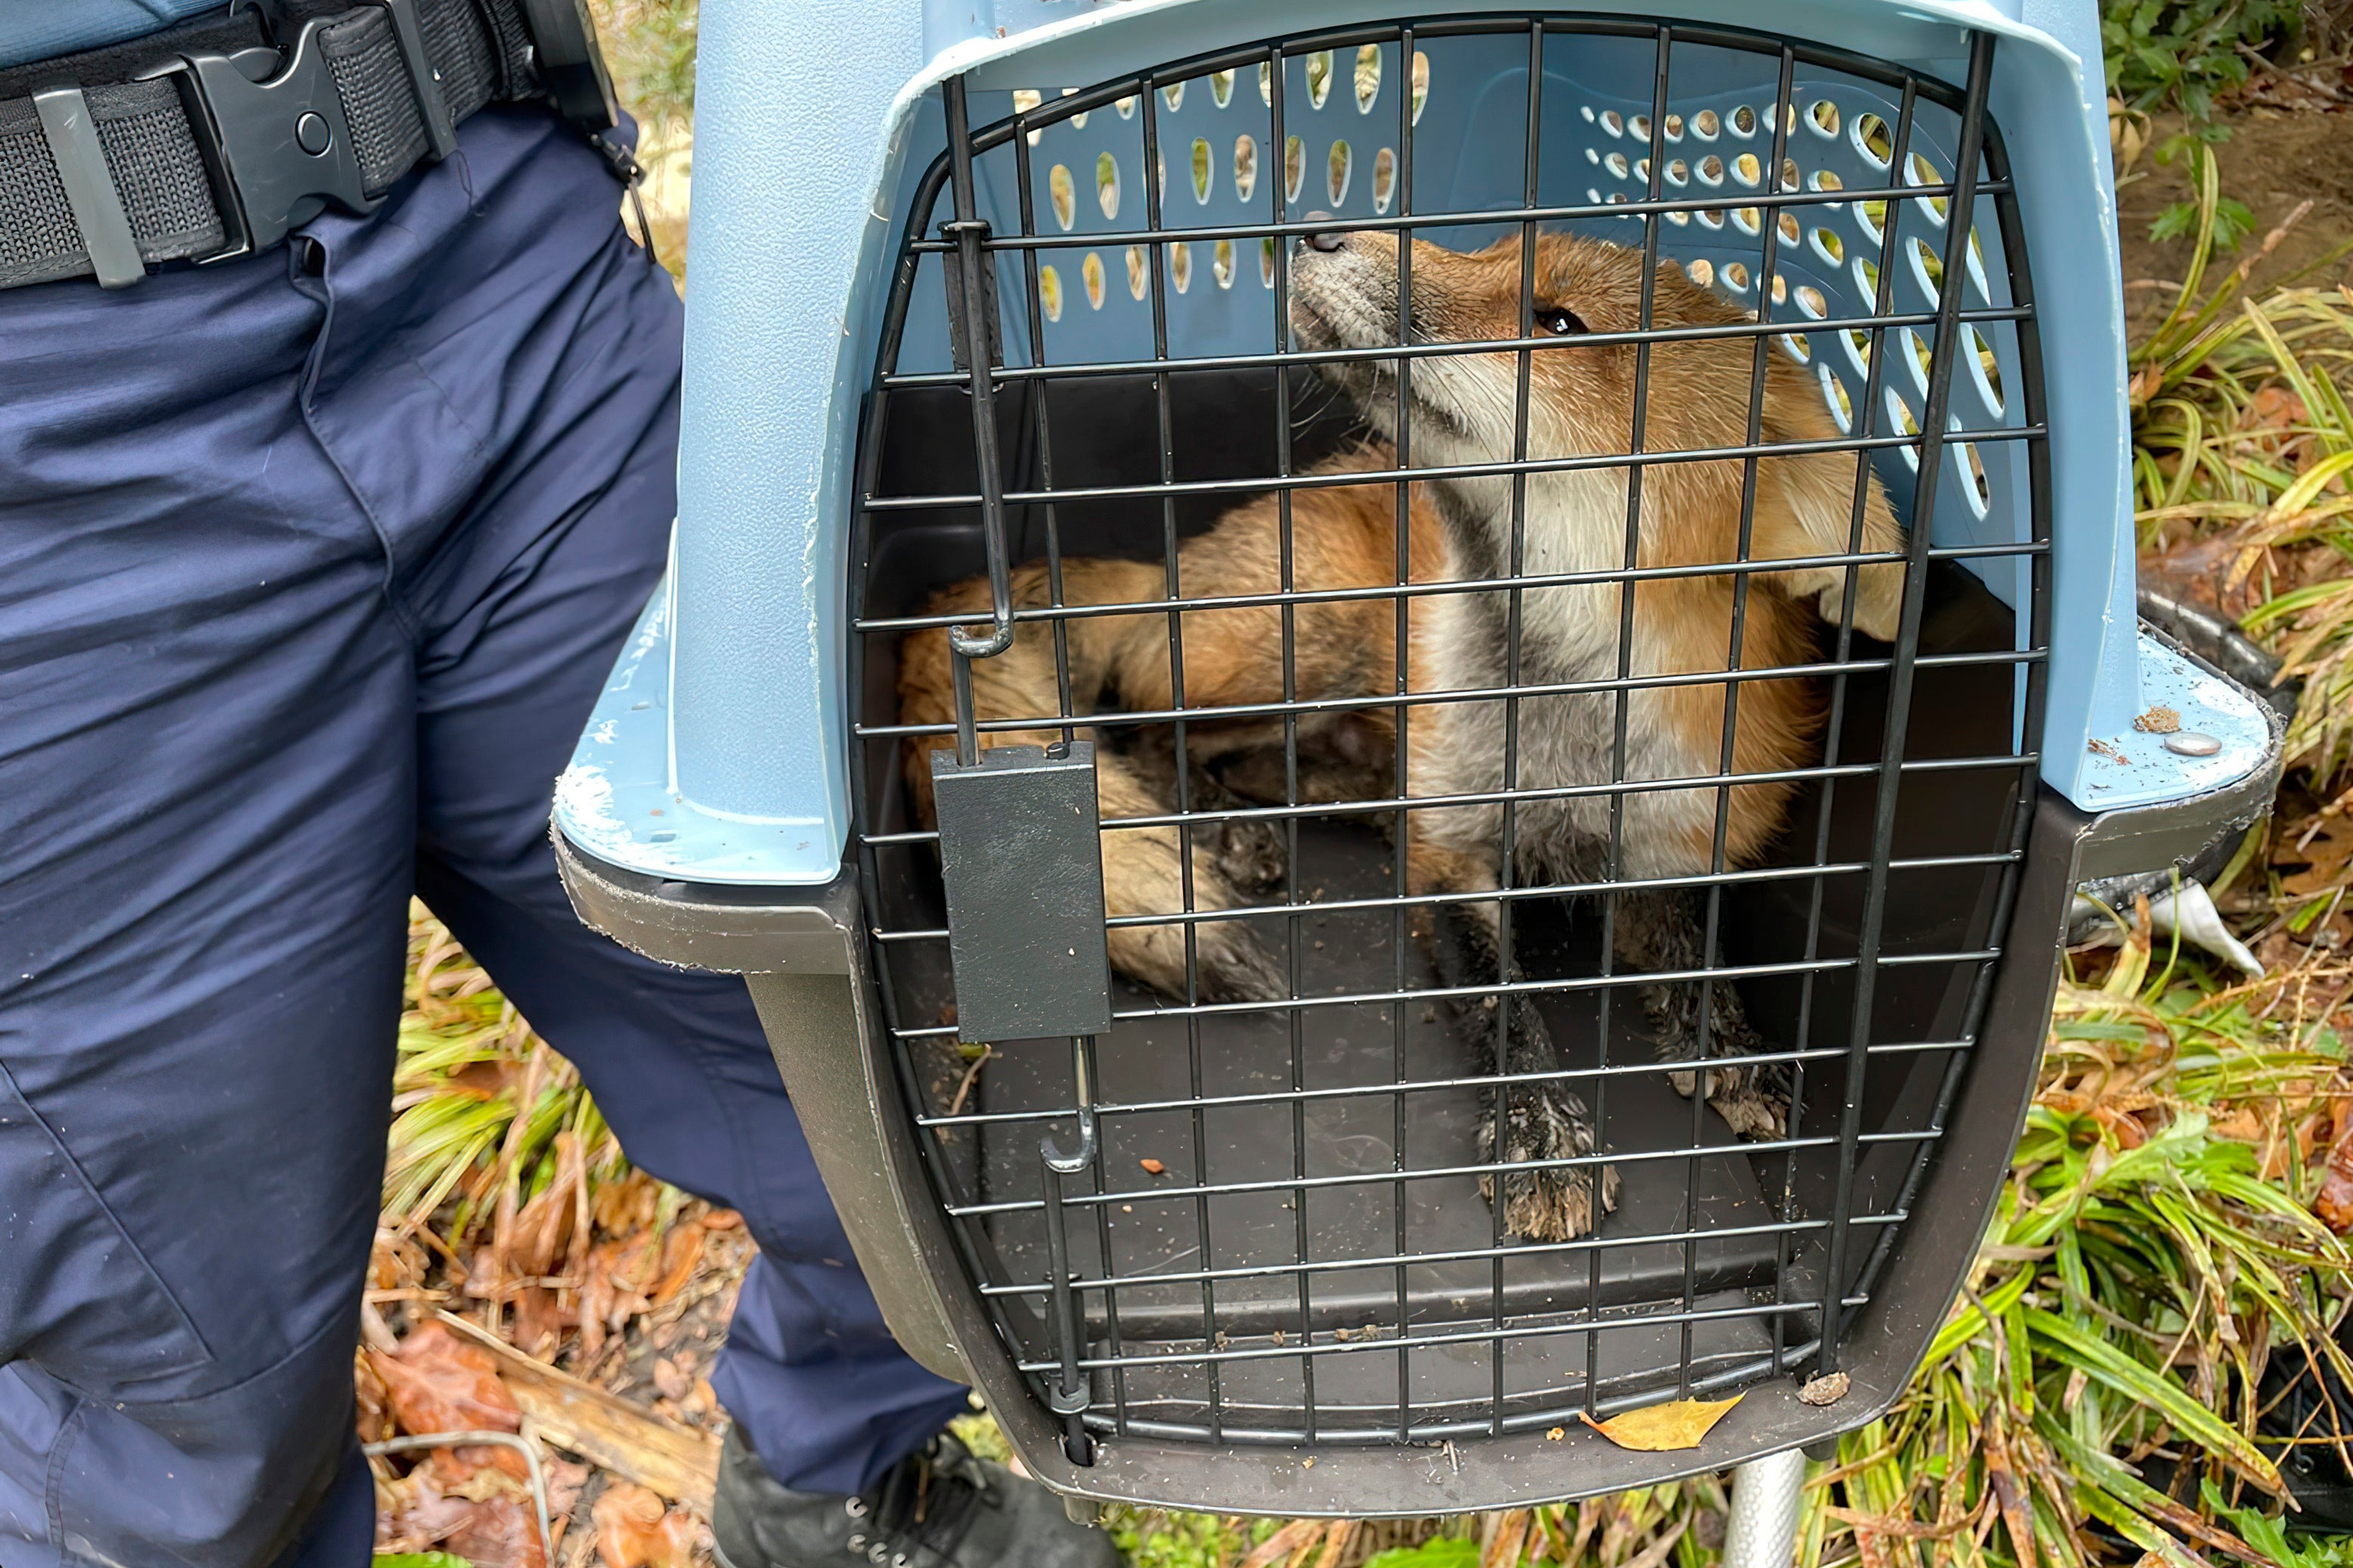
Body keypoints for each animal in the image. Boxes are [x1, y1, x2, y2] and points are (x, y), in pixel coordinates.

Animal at [889, 227, 1901, 1241]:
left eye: (1558, 323)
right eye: (1492, 245)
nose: (1319, 229)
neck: (1561, 734)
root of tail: (1170, 567)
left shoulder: (1670, 837)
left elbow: (1701, 949)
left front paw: (1732, 1044)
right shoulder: (1451, 855)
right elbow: (1502, 1000)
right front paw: (1539, 1133)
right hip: (1306, 643)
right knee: (1137, 723)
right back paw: (1229, 828)